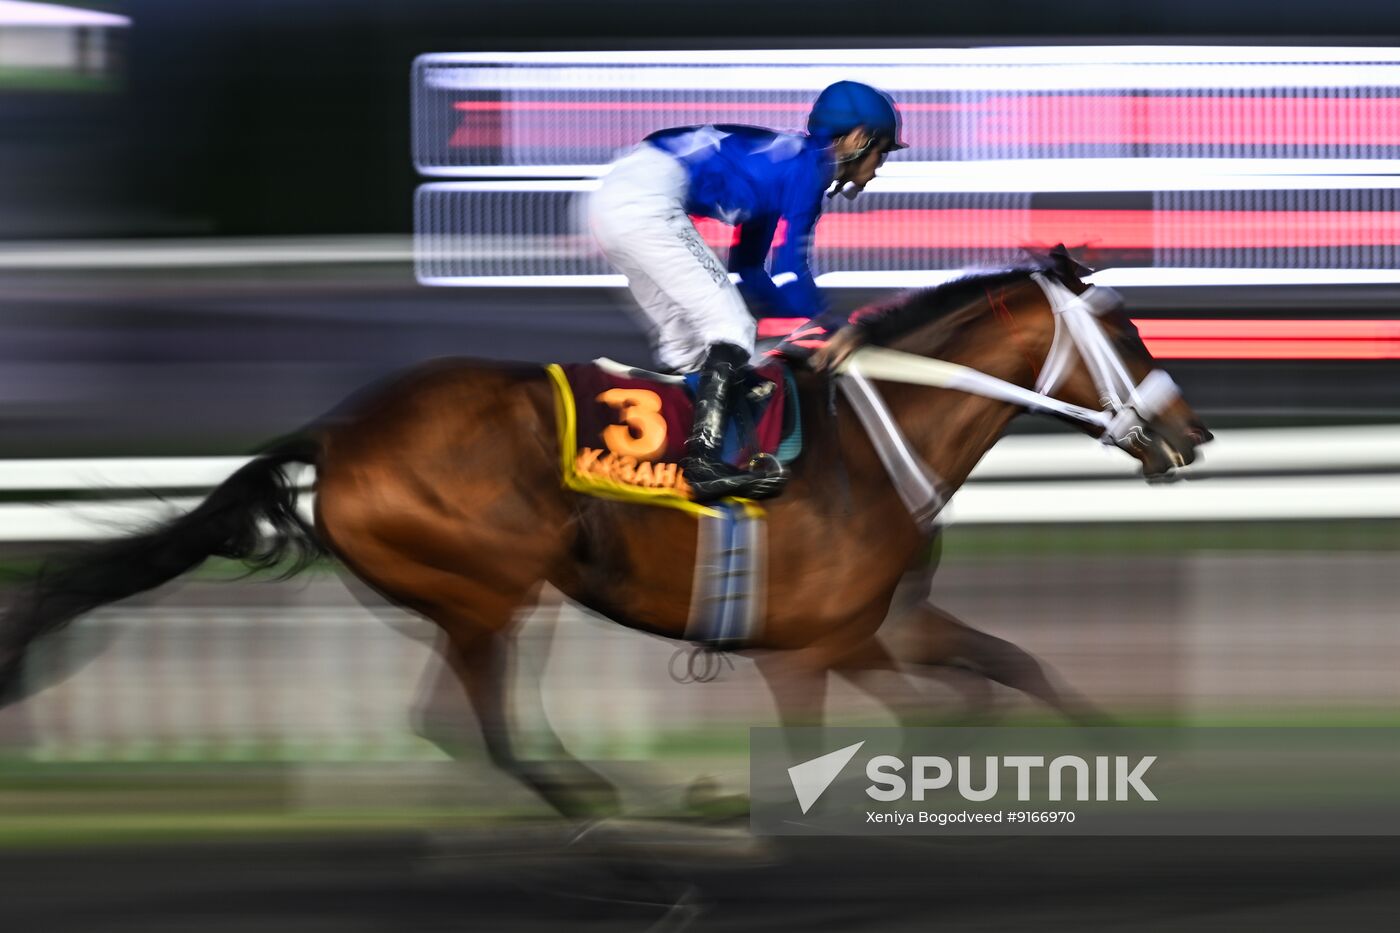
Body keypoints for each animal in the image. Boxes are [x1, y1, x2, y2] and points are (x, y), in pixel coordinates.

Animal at [0, 257, 1210, 820]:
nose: (1190, 431)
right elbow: (885, 737)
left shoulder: (884, 626)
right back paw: (618, 811)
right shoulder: (814, 651)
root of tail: (339, 433)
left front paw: (1136, 767)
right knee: (480, 726)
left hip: (477, 595)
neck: (875, 443)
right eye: (1123, 328)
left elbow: (1011, 670)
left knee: (465, 723)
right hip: (490, 585)